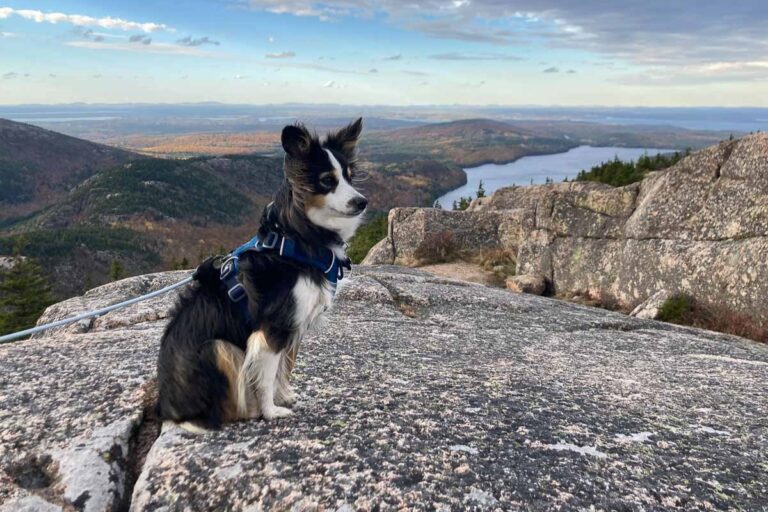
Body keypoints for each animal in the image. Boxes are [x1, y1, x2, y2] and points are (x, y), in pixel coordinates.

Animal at [156, 118, 366, 430]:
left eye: (350, 178)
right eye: (328, 180)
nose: (362, 202)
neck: (296, 241)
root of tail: (167, 408)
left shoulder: (292, 326)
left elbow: (282, 369)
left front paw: (285, 397)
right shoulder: (273, 328)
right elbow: (266, 376)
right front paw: (270, 411)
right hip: (217, 349)